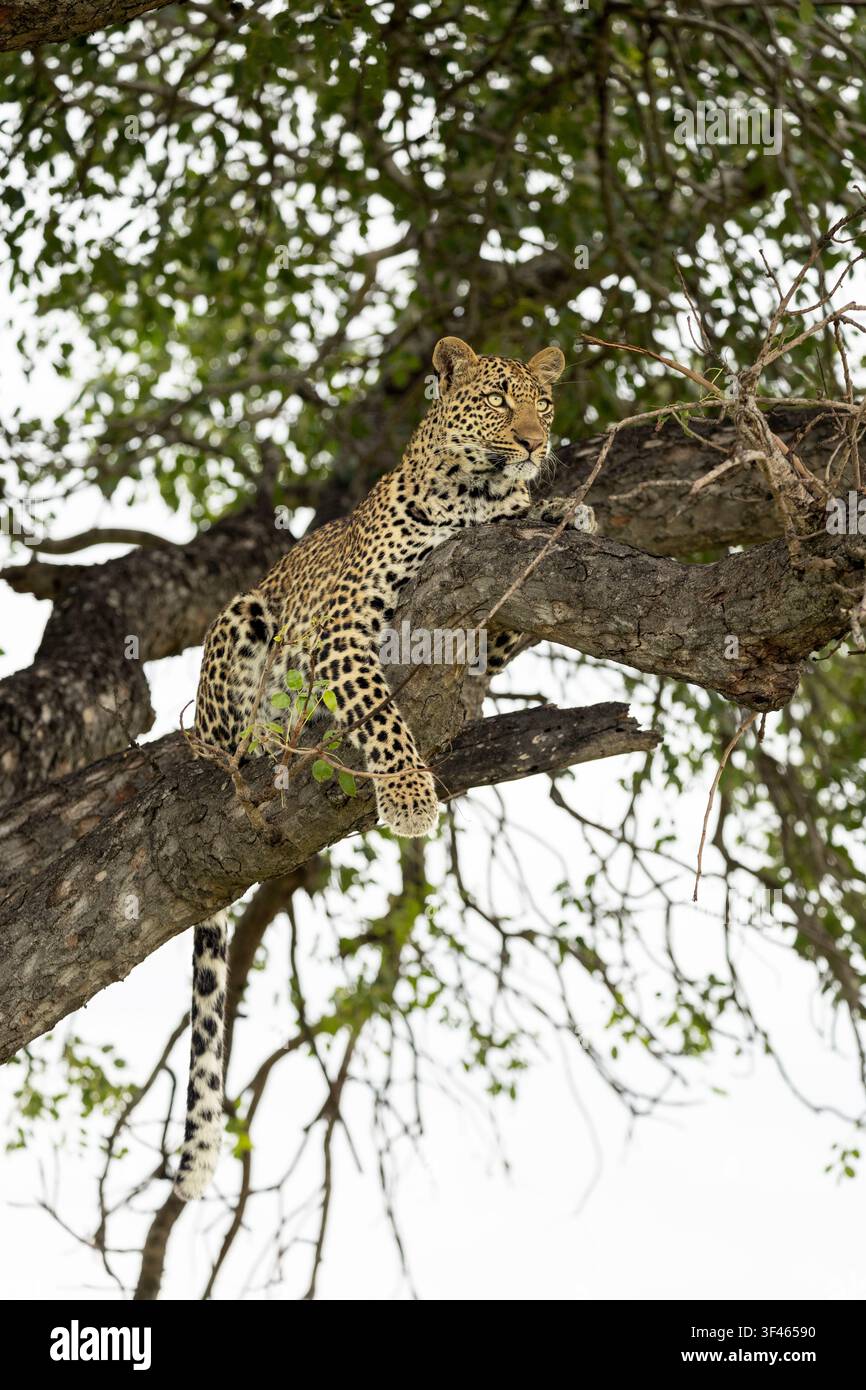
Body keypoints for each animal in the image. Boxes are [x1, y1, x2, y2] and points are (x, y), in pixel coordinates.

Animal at [174, 336, 597, 1200]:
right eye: (500, 400)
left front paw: (567, 508)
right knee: (225, 733)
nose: (536, 445)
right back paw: (259, 739)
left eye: (545, 402)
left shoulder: (489, 627)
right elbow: (380, 713)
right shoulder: (345, 630)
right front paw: (407, 798)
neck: (472, 496)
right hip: (245, 616)